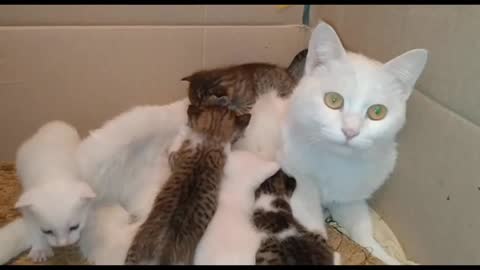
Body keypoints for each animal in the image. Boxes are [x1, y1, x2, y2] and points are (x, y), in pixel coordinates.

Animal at [0, 121, 96, 264]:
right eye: (47, 231)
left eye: (74, 227)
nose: (63, 244)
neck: (53, 173)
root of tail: (53, 124)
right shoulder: (27, 205)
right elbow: (33, 228)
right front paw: (40, 249)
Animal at [280, 21, 430, 264]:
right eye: (333, 100)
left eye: (377, 112)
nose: (350, 131)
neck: (336, 161)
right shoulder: (298, 183)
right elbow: (308, 217)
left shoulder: (351, 198)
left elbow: (363, 234)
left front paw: (384, 256)